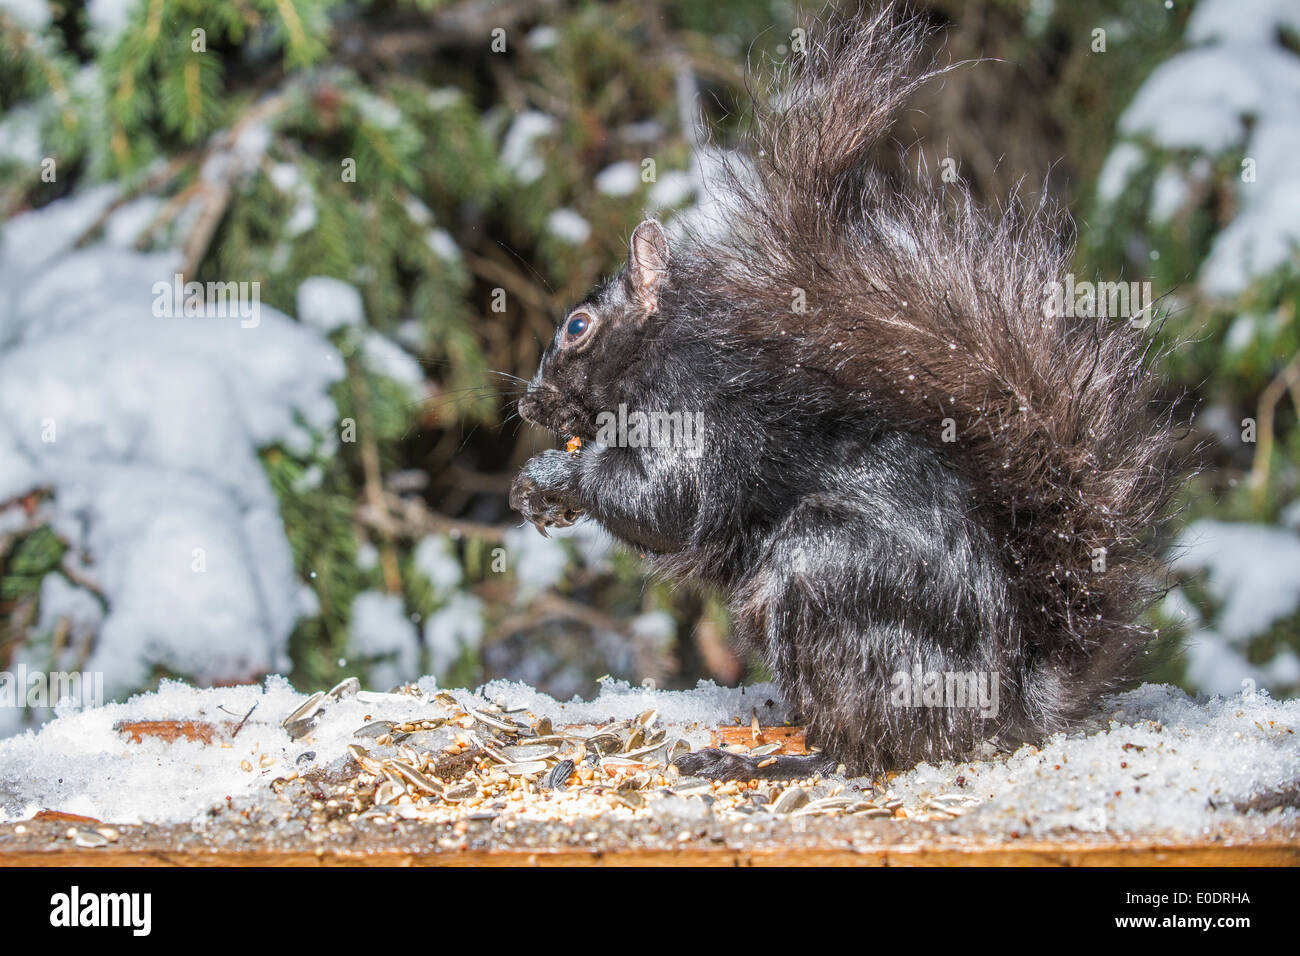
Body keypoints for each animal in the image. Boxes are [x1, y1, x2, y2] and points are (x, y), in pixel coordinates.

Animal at [512, 7, 1185, 780]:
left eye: (577, 326)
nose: (529, 404)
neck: (661, 358)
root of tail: (1001, 706)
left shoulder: (701, 420)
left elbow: (666, 502)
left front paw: (555, 473)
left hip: (825, 576)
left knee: (860, 748)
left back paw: (761, 764)